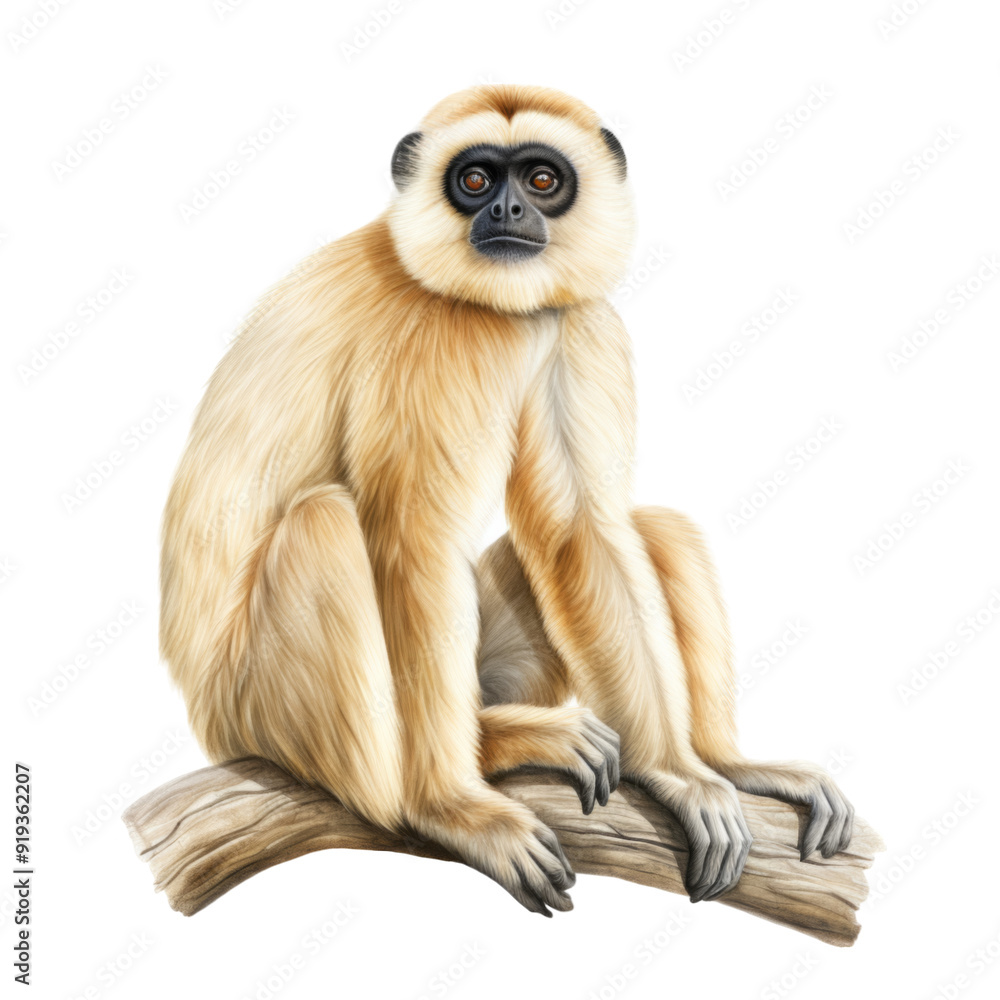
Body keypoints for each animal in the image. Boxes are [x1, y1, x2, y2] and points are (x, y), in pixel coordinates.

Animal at [160, 85, 854, 917]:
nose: (510, 210)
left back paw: (720, 759)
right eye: (476, 180)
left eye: (542, 180)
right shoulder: (431, 341)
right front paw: (450, 809)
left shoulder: (575, 318)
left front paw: (680, 772)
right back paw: (468, 766)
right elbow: (415, 545)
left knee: (652, 526)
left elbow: (578, 532)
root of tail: (207, 718)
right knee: (326, 525)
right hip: (253, 706)